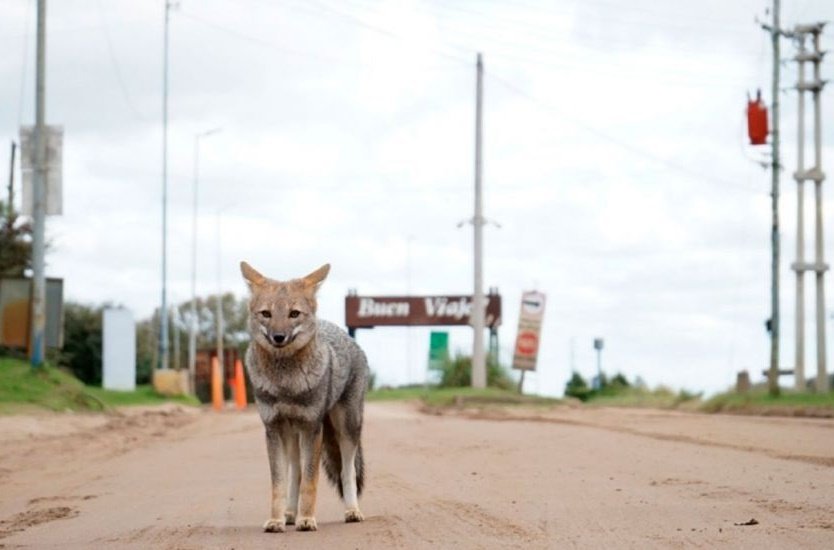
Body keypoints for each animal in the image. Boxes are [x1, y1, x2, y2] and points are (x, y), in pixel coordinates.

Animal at [240, 264, 370, 536]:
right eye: (266, 314)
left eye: (294, 314)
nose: (278, 336)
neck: (285, 385)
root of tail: (346, 334)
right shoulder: (273, 429)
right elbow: (280, 483)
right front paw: (277, 520)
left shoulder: (312, 428)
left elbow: (311, 481)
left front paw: (307, 520)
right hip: (292, 436)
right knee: (295, 474)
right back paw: (290, 514)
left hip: (346, 429)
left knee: (347, 472)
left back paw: (352, 511)